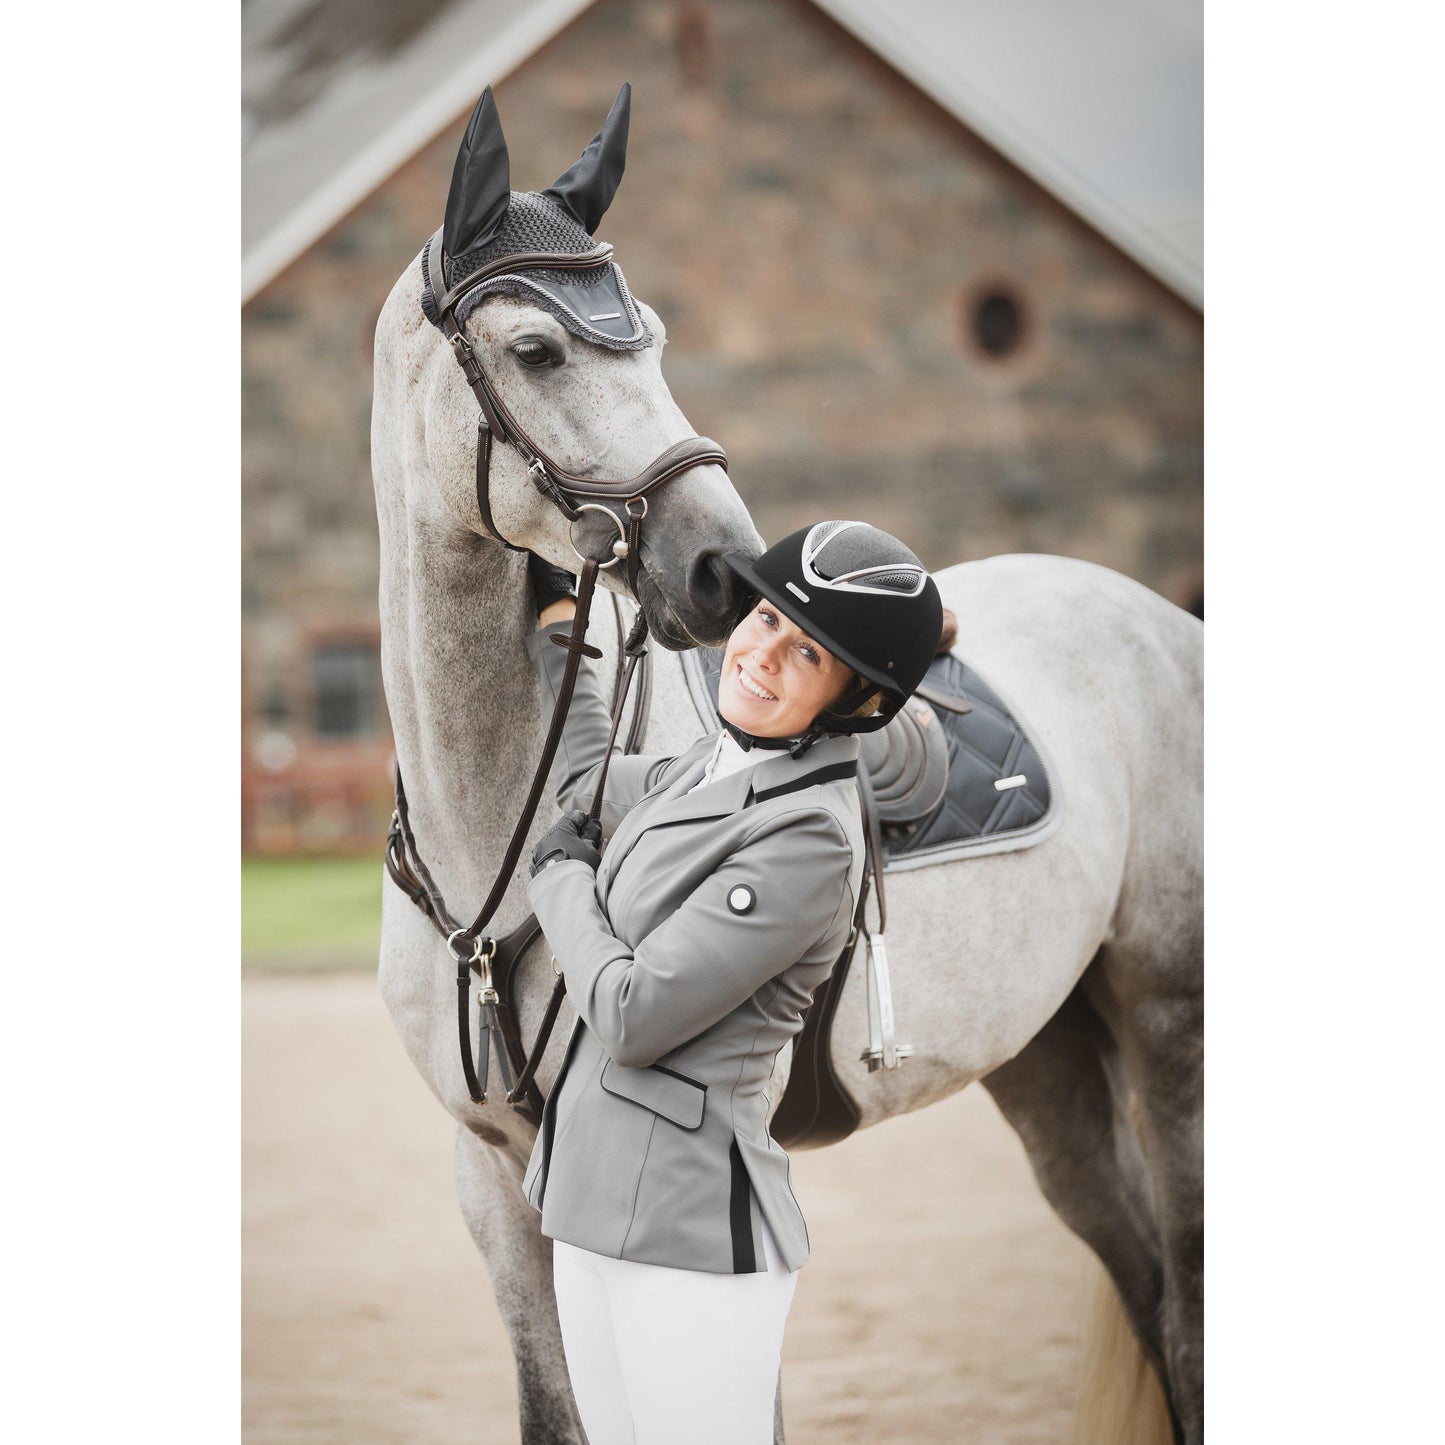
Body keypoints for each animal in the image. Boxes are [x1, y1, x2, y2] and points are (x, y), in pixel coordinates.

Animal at [371, 88, 1202, 1444]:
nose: (721, 567)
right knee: (1140, 1281)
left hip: (1167, 1023)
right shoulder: (492, 1180)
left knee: (1181, 1298)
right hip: (1045, 1059)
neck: (492, 837)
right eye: (538, 351)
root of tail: (1152, 618)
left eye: (652, 338)